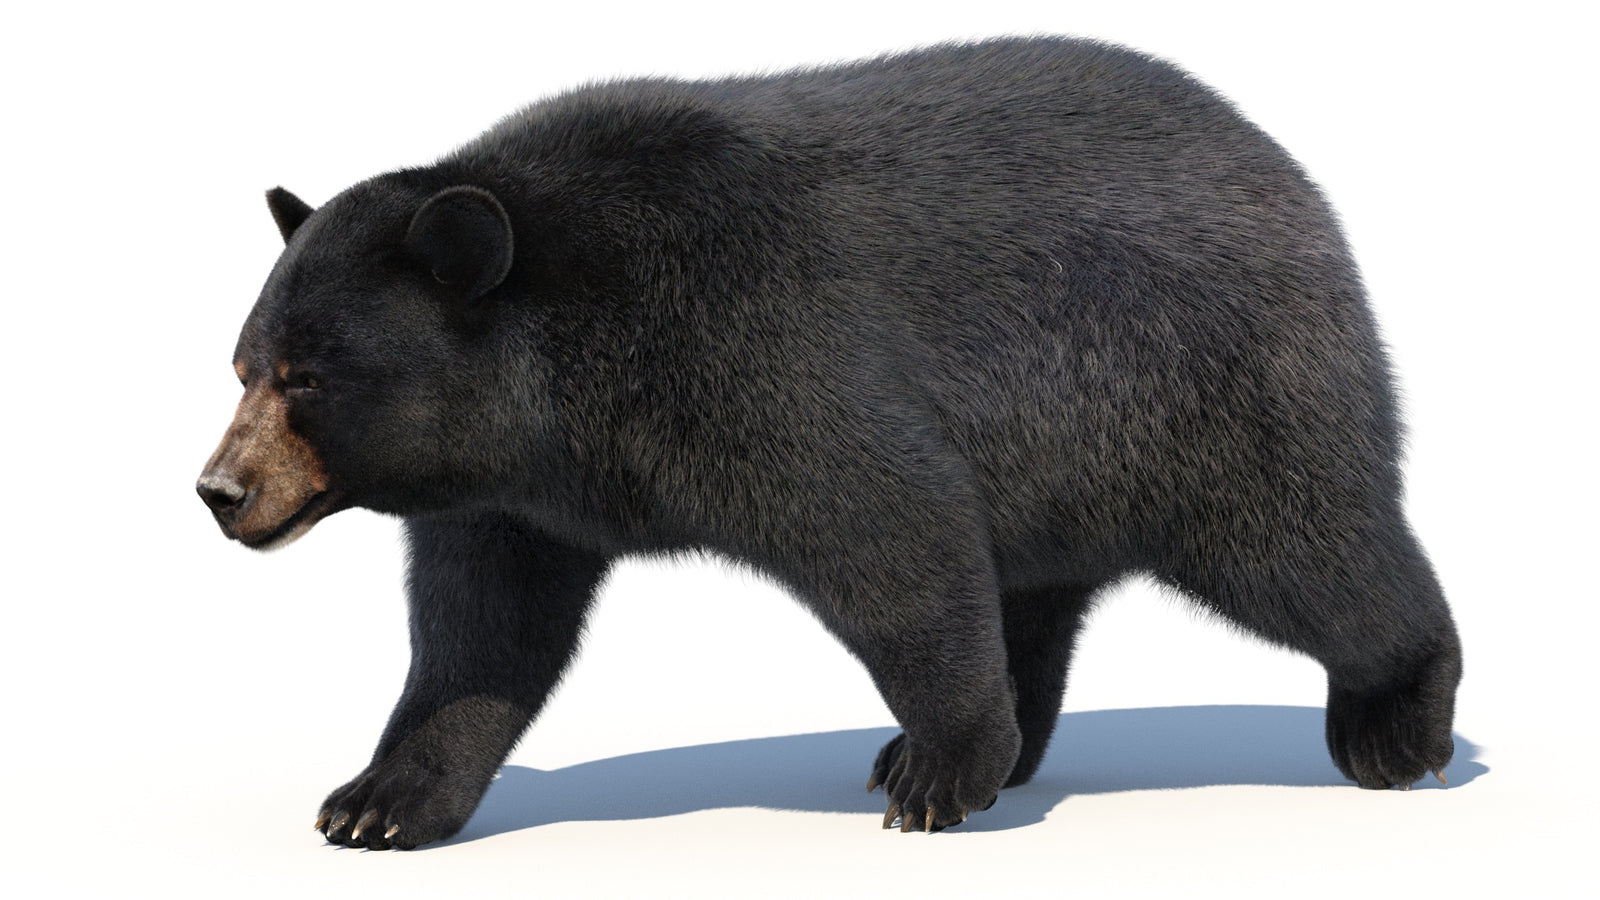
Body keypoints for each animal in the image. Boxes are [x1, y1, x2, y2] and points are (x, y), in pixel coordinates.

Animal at [197, 36, 1461, 849]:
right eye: (245, 365)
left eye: (310, 377)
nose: (220, 490)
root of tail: (1288, 176)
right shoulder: (510, 491)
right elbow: (480, 631)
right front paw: (377, 799)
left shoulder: (752, 347)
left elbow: (888, 529)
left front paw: (943, 775)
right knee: (1036, 592)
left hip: (1196, 390)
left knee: (1307, 550)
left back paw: (1399, 723)